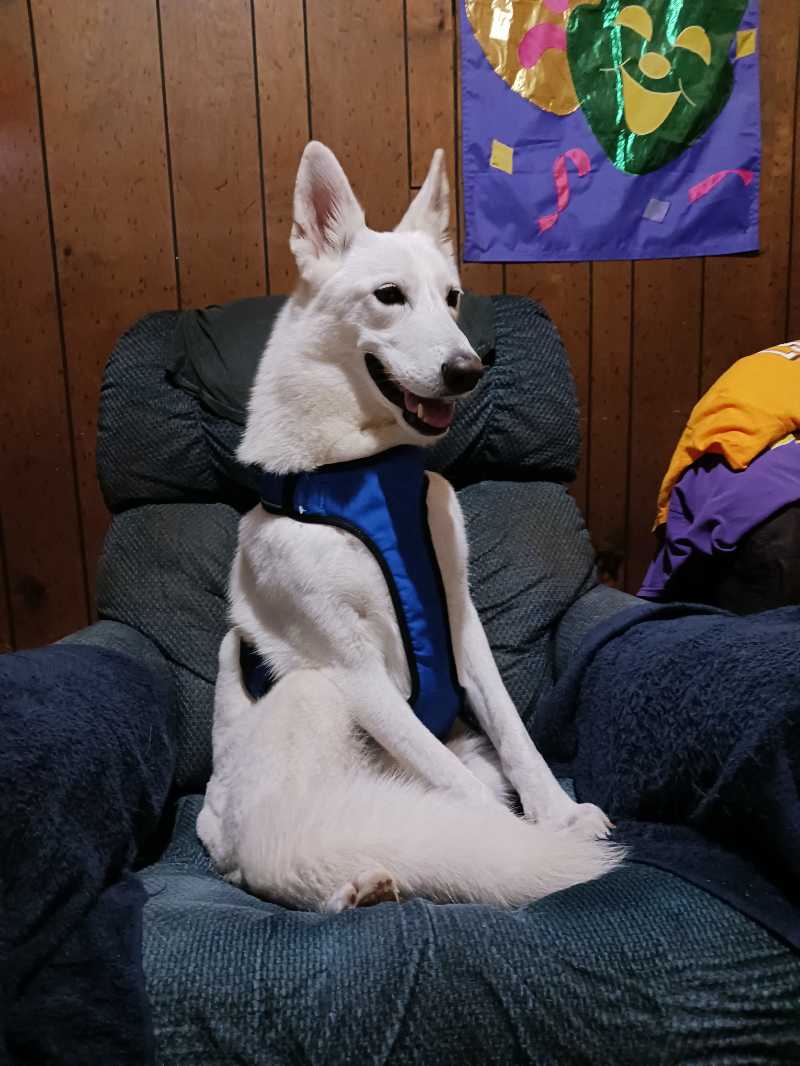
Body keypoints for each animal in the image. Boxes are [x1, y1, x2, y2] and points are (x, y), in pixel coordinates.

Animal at [197, 142, 622, 912]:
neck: (363, 468)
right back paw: (352, 885)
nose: (468, 370)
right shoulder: (355, 669)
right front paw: (528, 845)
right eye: (388, 295)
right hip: (312, 701)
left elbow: (516, 732)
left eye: (451, 298)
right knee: (285, 855)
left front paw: (558, 816)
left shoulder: (461, 625)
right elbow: (469, 803)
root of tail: (216, 829)